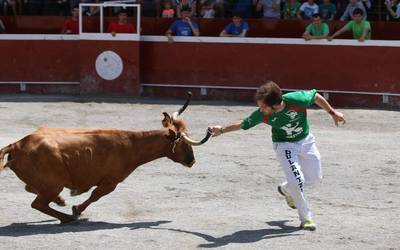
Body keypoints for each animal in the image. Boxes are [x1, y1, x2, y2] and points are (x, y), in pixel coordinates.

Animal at [0, 95, 212, 223]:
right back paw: (67, 217)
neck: (132, 144)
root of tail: (17, 145)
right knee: (38, 203)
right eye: (184, 143)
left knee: (32, 191)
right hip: (54, 183)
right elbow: (95, 196)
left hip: (47, 183)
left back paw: (60, 201)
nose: (192, 161)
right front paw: (77, 209)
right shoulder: (111, 182)